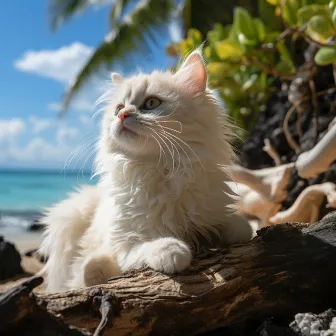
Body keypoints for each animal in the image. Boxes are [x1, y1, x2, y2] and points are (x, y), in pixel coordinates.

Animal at [39, 49, 252, 292]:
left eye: (151, 103)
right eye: (119, 108)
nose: (122, 115)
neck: (159, 168)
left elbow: (239, 227)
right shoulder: (124, 243)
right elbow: (145, 248)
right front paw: (173, 251)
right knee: (89, 268)